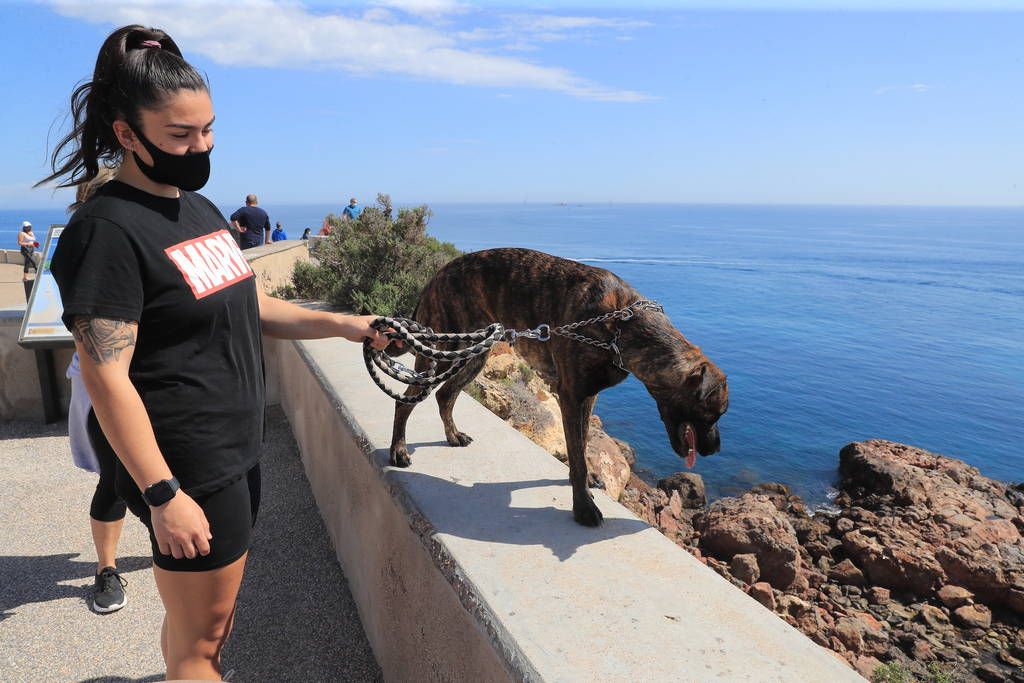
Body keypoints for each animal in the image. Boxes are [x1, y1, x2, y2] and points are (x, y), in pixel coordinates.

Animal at [387, 248, 733, 528]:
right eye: (712, 414)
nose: (716, 449)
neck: (621, 326)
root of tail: (438, 274)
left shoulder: (588, 397)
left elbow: (582, 442)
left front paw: (587, 479)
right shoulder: (571, 396)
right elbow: (577, 456)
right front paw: (583, 508)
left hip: (473, 355)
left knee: (445, 394)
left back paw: (452, 435)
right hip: (441, 350)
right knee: (405, 401)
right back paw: (398, 450)